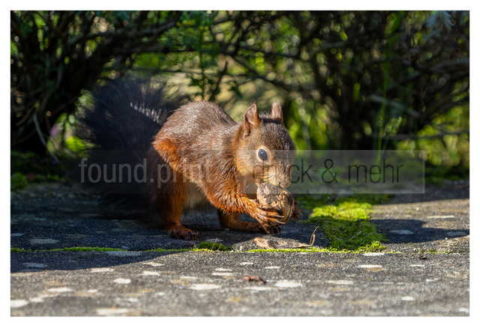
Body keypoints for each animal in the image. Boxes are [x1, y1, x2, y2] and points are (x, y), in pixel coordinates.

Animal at [80, 78, 294, 240]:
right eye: (262, 154)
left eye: (292, 148)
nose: (284, 183)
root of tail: (149, 195)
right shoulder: (215, 165)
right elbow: (221, 195)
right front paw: (257, 210)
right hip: (170, 182)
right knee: (168, 215)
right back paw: (179, 228)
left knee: (227, 221)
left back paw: (247, 225)